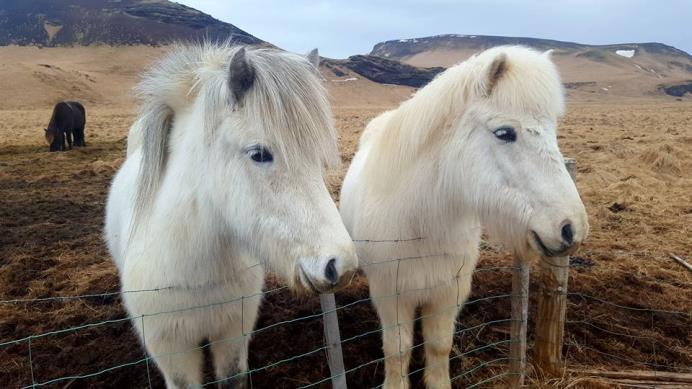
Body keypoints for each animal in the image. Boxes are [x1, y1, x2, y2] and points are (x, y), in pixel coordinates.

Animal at [340, 46, 588, 388]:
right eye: (504, 133)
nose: (571, 228)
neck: (420, 224)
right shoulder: (391, 295)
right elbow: (398, 350)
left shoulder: (448, 293)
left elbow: (439, 345)